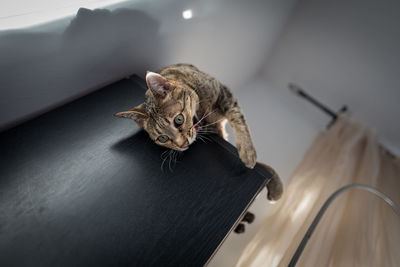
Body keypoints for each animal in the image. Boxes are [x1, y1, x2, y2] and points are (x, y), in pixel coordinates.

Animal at [113, 63, 282, 201]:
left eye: (179, 119)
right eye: (163, 138)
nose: (182, 145)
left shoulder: (223, 92)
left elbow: (237, 117)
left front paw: (247, 151)